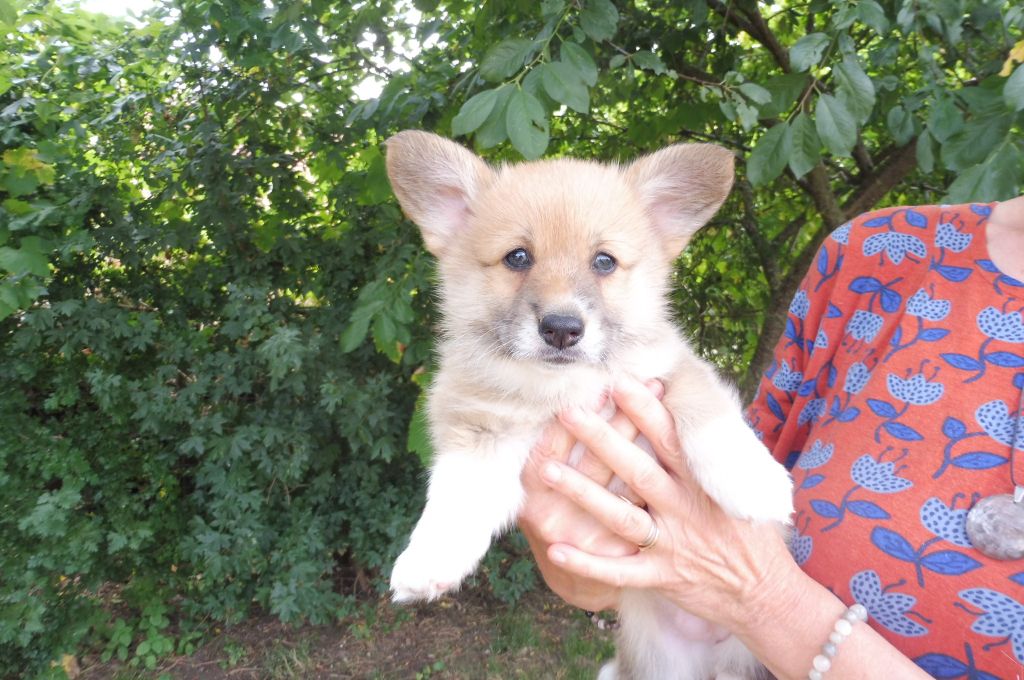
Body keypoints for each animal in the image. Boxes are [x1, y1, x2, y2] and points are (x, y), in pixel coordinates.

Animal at [385, 131, 790, 680]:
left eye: (604, 262)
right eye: (517, 257)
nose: (561, 329)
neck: (564, 386)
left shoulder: (669, 371)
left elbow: (707, 413)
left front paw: (755, 481)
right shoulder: (479, 430)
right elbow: (458, 496)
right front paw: (429, 558)